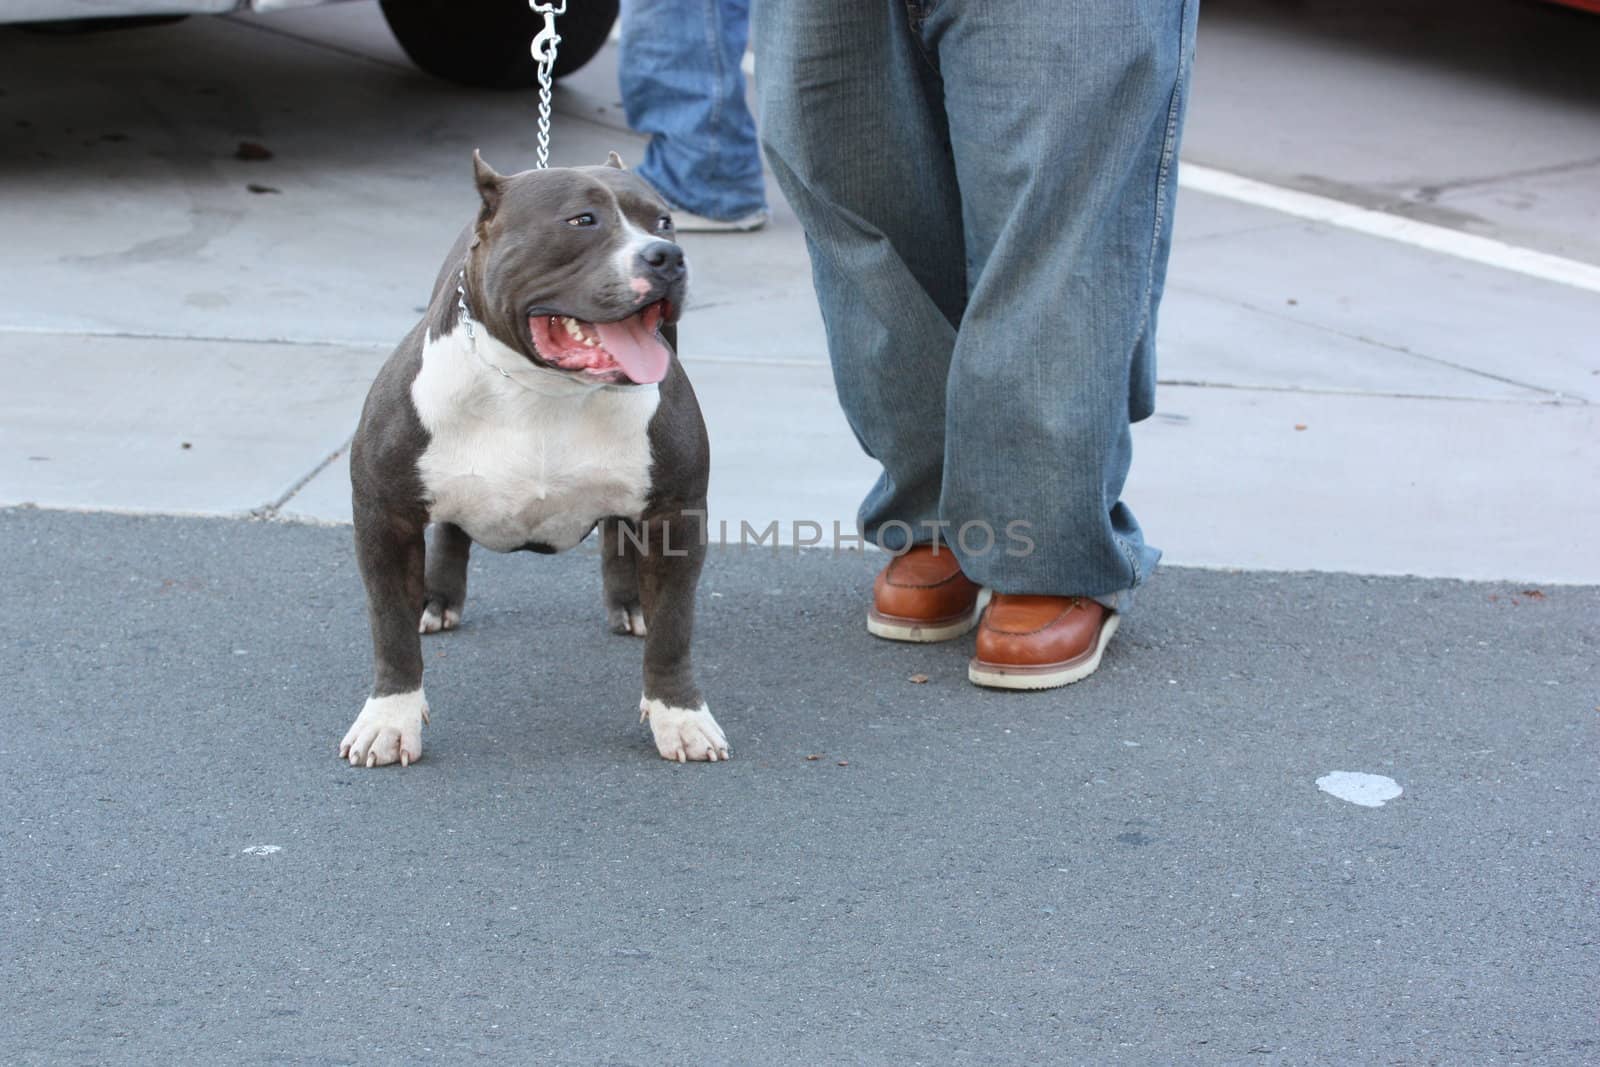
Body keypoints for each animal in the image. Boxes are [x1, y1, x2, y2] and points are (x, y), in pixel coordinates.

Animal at [344, 150, 732, 767]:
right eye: (581, 221)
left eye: (665, 221)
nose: (667, 256)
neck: (543, 389)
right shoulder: (385, 515)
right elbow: (390, 627)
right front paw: (389, 719)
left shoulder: (677, 513)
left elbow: (674, 627)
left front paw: (680, 716)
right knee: (451, 530)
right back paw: (439, 599)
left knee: (618, 532)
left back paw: (630, 602)